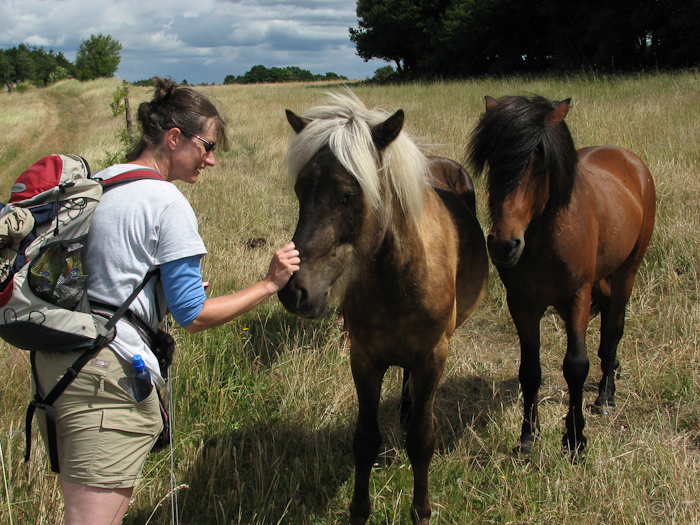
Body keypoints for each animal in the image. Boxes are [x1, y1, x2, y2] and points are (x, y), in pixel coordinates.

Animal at [278, 92, 486, 520]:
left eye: (348, 194)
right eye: (300, 191)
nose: (295, 292)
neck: (400, 281)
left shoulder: (433, 356)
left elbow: (422, 440)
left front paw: (421, 512)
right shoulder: (365, 358)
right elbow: (365, 439)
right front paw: (359, 511)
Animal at [468, 95, 652, 454]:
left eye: (540, 164)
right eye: (494, 161)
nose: (504, 245)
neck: (545, 239)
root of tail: (630, 162)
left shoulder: (577, 296)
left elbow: (576, 366)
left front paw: (575, 439)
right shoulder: (522, 304)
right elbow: (530, 370)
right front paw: (527, 437)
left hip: (628, 271)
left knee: (614, 328)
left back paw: (605, 396)